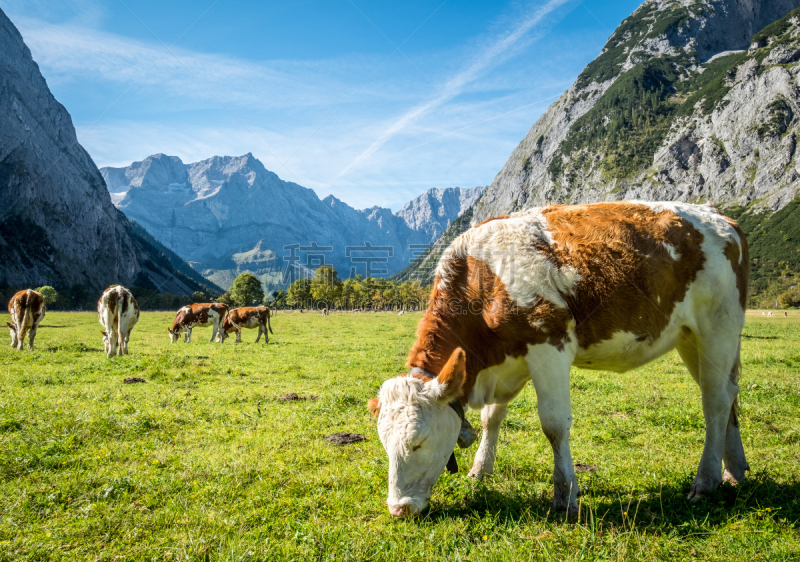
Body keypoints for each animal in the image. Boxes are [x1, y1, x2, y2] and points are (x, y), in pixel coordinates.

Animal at [368, 201, 752, 516]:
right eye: (384, 444)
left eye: (418, 442)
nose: (398, 509)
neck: (485, 279)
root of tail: (722, 218)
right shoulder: (508, 359)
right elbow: (492, 418)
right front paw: (480, 470)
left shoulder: (548, 346)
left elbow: (553, 424)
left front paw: (565, 495)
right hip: (690, 337)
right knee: (727, 393)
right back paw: (734, 471)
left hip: (718, 326)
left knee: (716, 399)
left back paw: (705, 481)